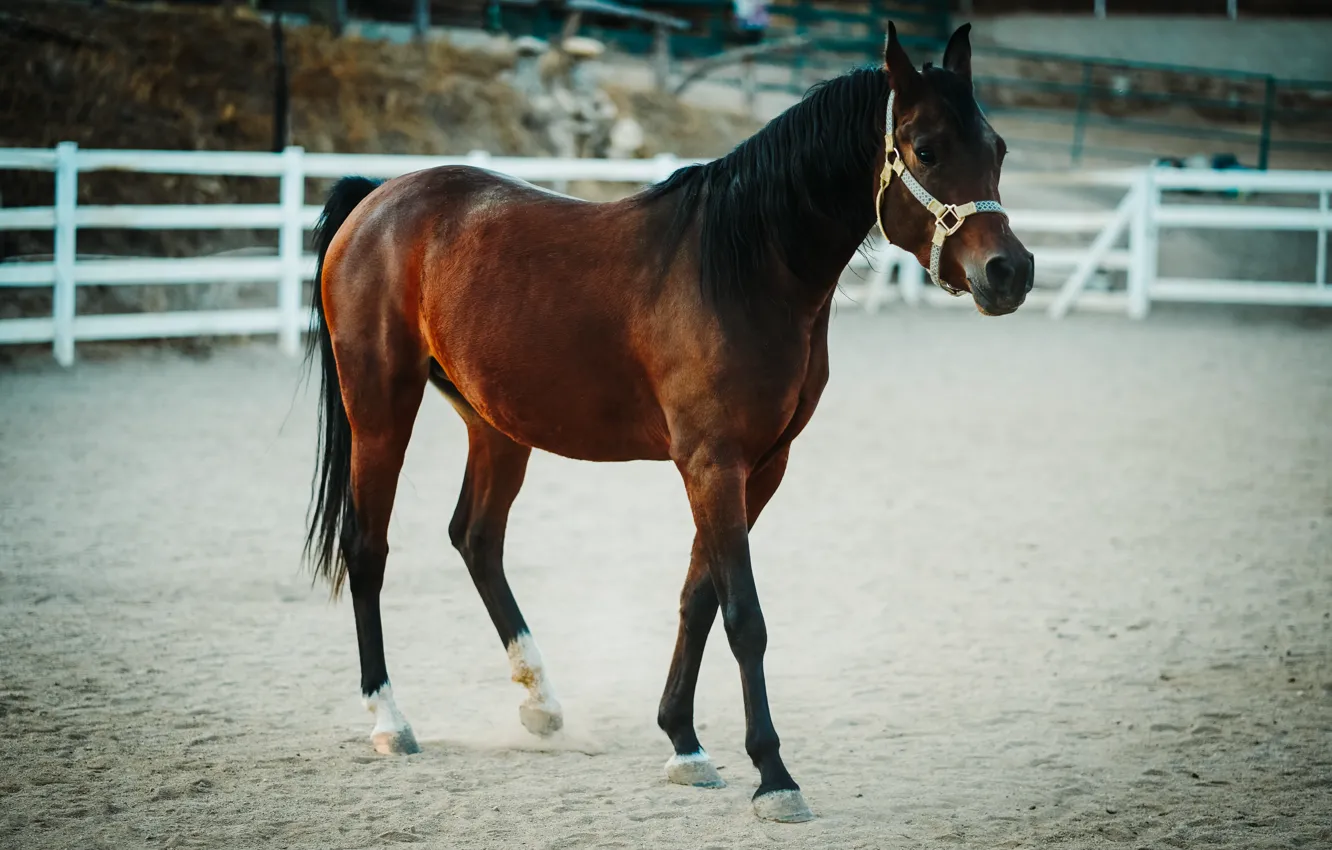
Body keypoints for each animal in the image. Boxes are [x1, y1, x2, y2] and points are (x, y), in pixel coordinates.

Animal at [302, 22, 1032, 823]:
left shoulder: (761, 466)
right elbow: (744, 614)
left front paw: (684, 744)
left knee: (477, 539)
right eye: (926, 149)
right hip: (380, 408)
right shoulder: (712, 463)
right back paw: (390, 720)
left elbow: (698, 597)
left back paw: (542, 704)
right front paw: (773, 774)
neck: (747, 268)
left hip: (496, 424)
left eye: (996, 148)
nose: (1010, 271)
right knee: (368, 548)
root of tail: (378, 199)